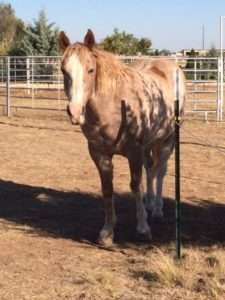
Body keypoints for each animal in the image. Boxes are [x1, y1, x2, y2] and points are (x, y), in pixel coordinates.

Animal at [59, 29, 185, 246]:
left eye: (91, 70)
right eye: (63, 71)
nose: (74, 111)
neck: (116, 106)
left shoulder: (134, 152)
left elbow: (135, 185)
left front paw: (143, 229)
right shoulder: (99, 154)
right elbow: (107, 189)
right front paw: (107, 232)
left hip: (167, 141)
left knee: (160, 171)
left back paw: (157, 209)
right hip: (149, 144)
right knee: (151, 170)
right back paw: (150, 204)